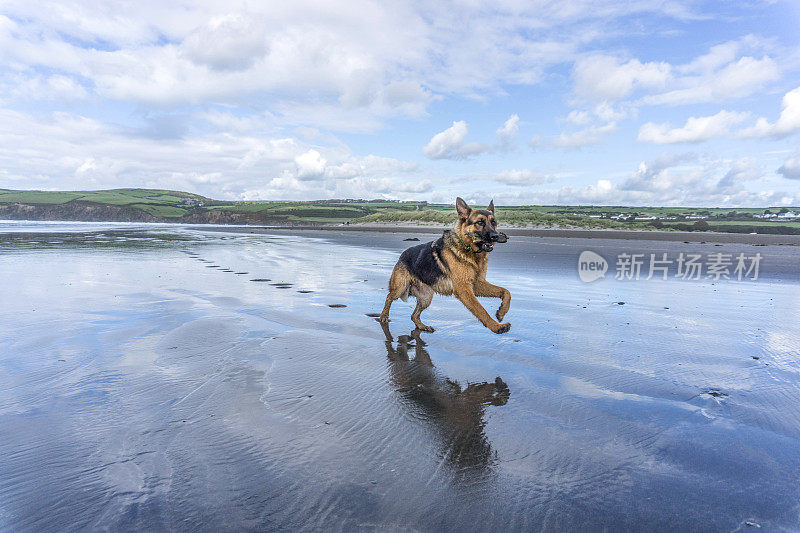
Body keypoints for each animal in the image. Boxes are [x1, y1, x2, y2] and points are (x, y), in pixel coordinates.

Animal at [382, 197, 512, 332]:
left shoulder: (476, 284)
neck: (468, 249)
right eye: (480, 222)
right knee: (389, 297)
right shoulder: (463, 289)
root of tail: (402, 254)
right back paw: (384, 317)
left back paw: (423, 326)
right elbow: (481, 310)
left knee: (414, 316)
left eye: (493, 222)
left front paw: (502, 312)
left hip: (426, 297)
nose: (495, 236)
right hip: (400, 287)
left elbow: (506, 292)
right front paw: (495, 326)